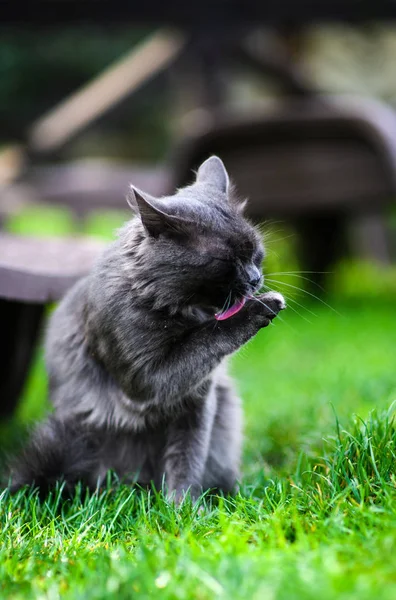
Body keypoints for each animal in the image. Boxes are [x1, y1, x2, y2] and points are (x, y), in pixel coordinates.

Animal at [10, 157, 284, 500]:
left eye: (256, 253)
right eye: (227, 260)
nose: (255, 278)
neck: (175, 306)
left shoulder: (198, 402)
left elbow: (187, 460)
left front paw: (184, 506)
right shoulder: (147, 378)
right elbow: (209, 338)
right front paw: (263, 306)